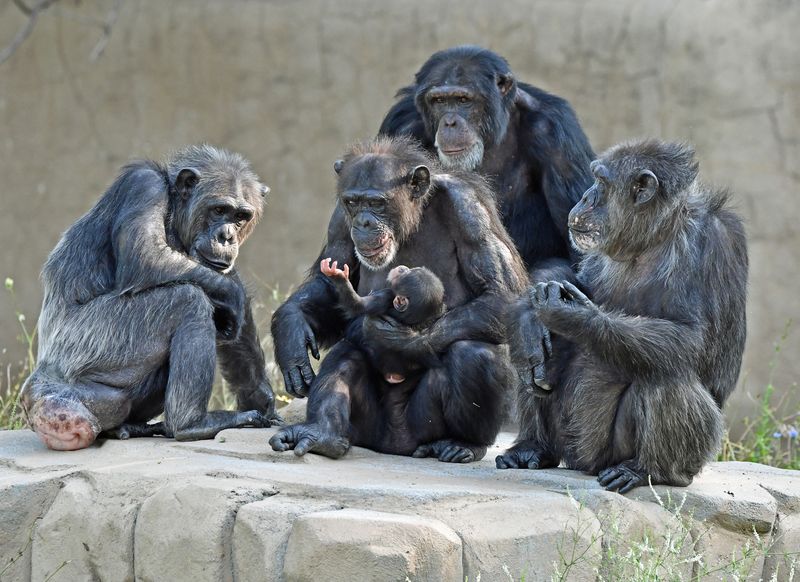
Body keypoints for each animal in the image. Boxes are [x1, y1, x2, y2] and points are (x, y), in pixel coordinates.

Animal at [21, 145, 282, 452]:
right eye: (219, 210)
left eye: (241, 216)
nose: (227, 236)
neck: (174, 210)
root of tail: (41, 389)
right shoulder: (144, 186)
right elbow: (147, 255)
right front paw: (235, 296)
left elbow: (228, 299)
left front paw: (259, 396)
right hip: (94, 341)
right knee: (187, 300)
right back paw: (191, 424)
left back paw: (129, 427)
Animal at [318, 258, 446, 386]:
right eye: (411, 270)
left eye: (406, 274)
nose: (403, 268)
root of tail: (395, 376)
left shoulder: (385, 296)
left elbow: (357, 304)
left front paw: (338, 276)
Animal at [382, 44, 600, 392]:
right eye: (439, 101)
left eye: (463, 100)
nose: (450, 122)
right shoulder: (399, 125)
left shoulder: (558, 134)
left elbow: (578, 251)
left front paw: (528, 317)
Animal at [500, 140, 752, 492]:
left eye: (602, 182)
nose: (586, 197)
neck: (653, 236)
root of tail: (583, 463)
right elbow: (574, 274)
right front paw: (531, 315)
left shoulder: (717, 242)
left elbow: (696, 340)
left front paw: (575, 316)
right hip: (568, 442)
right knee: (539, 356)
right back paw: (531, 447)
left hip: (616, 453)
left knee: (666, 372)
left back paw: (644, 470)